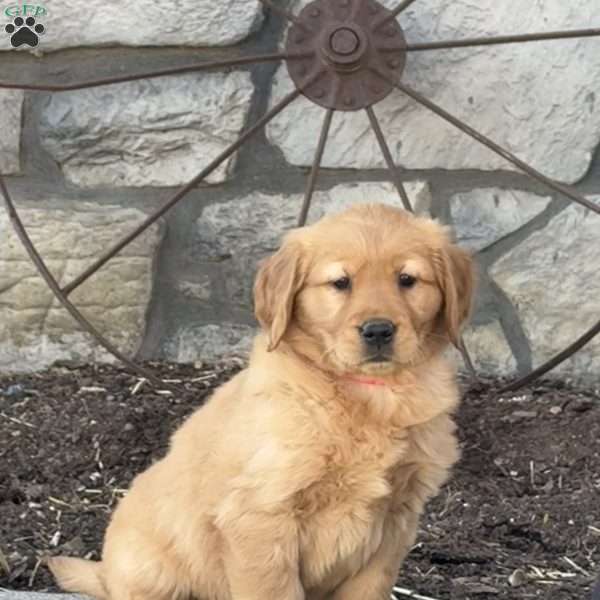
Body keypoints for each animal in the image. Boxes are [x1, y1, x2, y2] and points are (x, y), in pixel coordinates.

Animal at [49, 204, 474, 596]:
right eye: (340, 283)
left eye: (407, 280)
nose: (378, 331)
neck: (371, 395)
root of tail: (105, 574)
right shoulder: (260, 515)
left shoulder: (396, 519)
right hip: (155, 572)